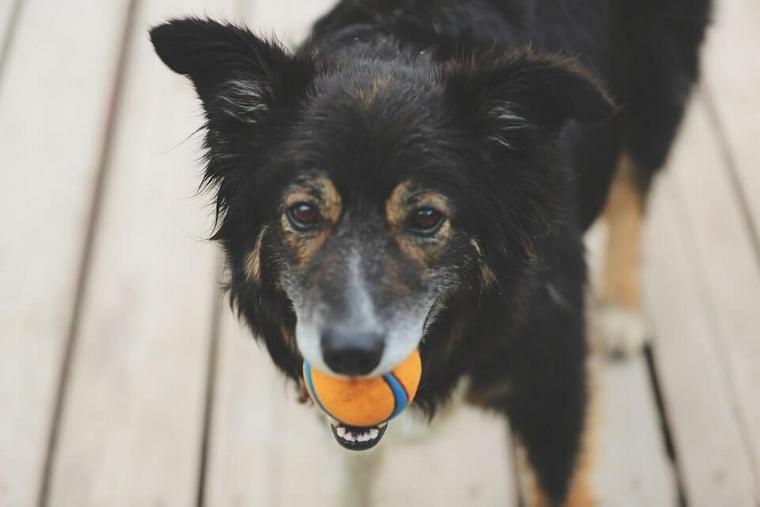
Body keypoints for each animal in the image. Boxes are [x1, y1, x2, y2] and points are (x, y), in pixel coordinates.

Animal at [150, 0, 712, 504]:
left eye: (425, 218)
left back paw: (621, 310)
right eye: (304, 212)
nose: (349, 356)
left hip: (657, 78)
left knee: (634, 186)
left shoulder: (555, 389)